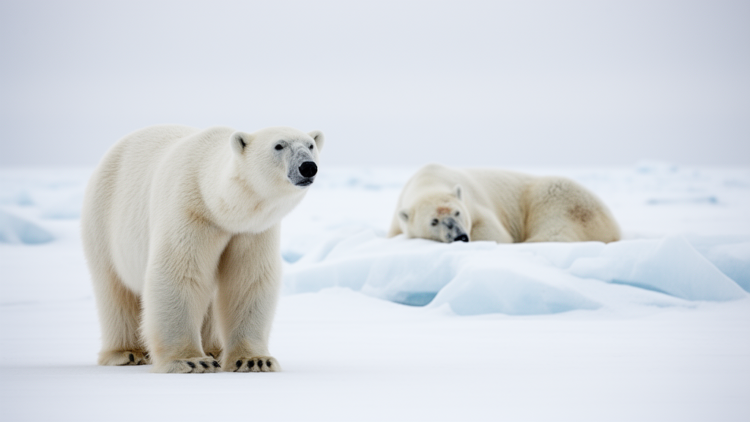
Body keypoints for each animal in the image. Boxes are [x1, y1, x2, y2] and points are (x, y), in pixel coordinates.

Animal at [81, 125, 323, 373]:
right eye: (279, 145)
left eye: (311, 145)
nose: (308, 167)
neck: (217, 205)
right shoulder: (190, 213)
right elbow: (179, 274)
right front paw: (191, 361)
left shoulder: (251, 232)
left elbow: (248, 281)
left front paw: (254, 360)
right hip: (104, 222)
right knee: (115, 289)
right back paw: (126, 352)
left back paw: (213, 349)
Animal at [388, 164, 619, 244]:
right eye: (434, 221)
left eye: (457, 213)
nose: (460, 237)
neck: (428, 179)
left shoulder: (475, 204)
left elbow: (494, 233)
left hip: (558, 197)